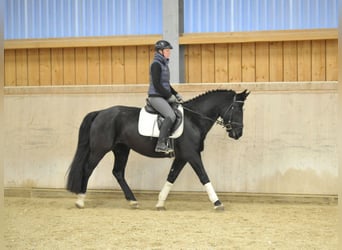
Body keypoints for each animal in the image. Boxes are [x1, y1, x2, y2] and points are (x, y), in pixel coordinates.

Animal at [67, 89, 248, 210]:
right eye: (237, 109)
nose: (238, 133)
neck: (194, 119)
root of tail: (100, 113)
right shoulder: (192, 155)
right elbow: (204, 176)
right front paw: (217, 203)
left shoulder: (182, 157)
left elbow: (171, 176)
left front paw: (160, 202)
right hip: (100, 149)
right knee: (88, 169)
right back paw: (80, 200)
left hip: (121, 149)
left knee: (118, 172)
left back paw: (132, 200)